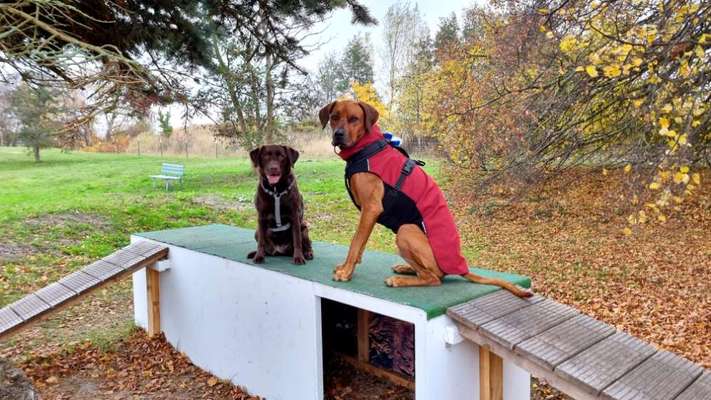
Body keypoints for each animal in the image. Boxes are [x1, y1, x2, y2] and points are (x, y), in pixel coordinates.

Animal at [320, 101, 532, 296]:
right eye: (334, 117)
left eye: (354, 119)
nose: (338, 134)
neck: (367, 147)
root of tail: (459, 267)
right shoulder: (368, 214)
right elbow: (360, 244)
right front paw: (348, 267)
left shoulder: (371, 208)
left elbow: (355, 243)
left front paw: (346, 272)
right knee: (428, 273)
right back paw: (406, 268)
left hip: (406, 231)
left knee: (433, 278)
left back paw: (400, 280)